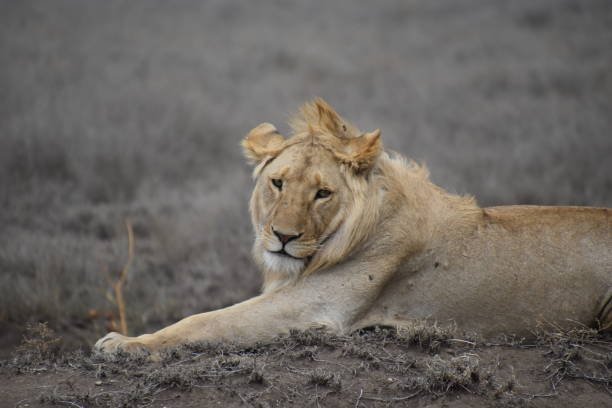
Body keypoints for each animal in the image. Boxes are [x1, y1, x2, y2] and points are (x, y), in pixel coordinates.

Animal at [95, 99, 612, 354]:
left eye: (323, 193)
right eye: (278, 183)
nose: (283, 237)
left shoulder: (311, 310)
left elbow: (205, 321)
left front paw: (125, 344)